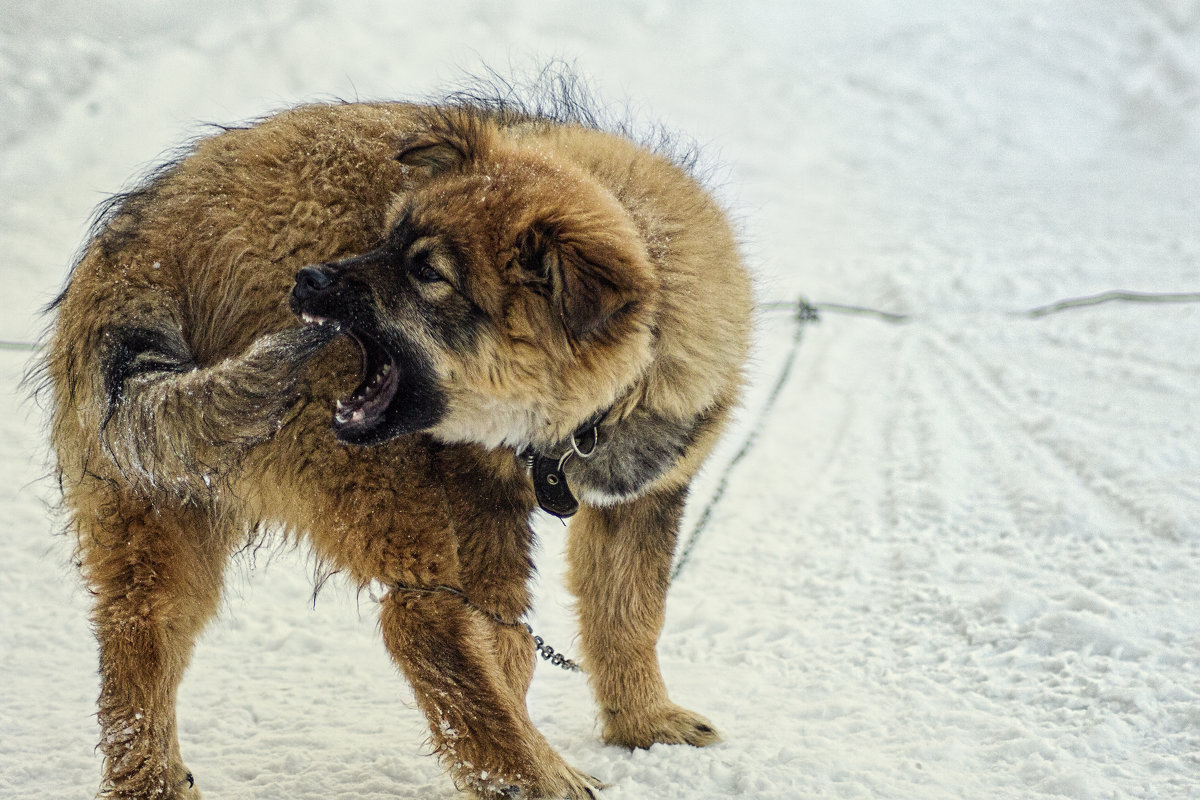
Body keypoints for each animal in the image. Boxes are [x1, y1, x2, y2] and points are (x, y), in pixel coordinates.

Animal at [42, 76, 753, 800]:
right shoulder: (480, 513)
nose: (309, 279)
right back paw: (532, 775)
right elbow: (510, 645)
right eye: (387, 239)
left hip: (163, 499)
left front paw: (644, 724)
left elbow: (625, 616)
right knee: (419, 623)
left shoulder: (641, 497)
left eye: (429, 274)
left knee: (142, 637)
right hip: (386, 494)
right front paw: (535, 760)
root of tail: (153, 256)